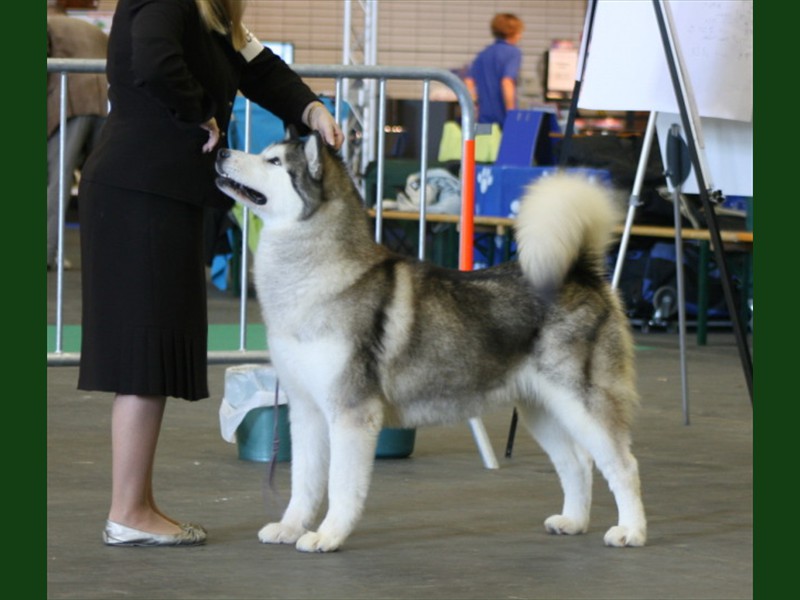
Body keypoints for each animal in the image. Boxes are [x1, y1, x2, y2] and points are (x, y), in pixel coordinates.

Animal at [216, 132, 648, 552]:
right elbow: (303, 483)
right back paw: (573, 521)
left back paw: (631, 531)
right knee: (577, 463)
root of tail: (581, 272)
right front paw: (290, 528)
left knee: (623, 465)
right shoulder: (306, 411)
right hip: (542, 409)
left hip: (582, 404)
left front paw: (328, 535)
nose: (221, 150)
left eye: (273, 161)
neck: (315, 277)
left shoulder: (352, 413)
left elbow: (340, 485)